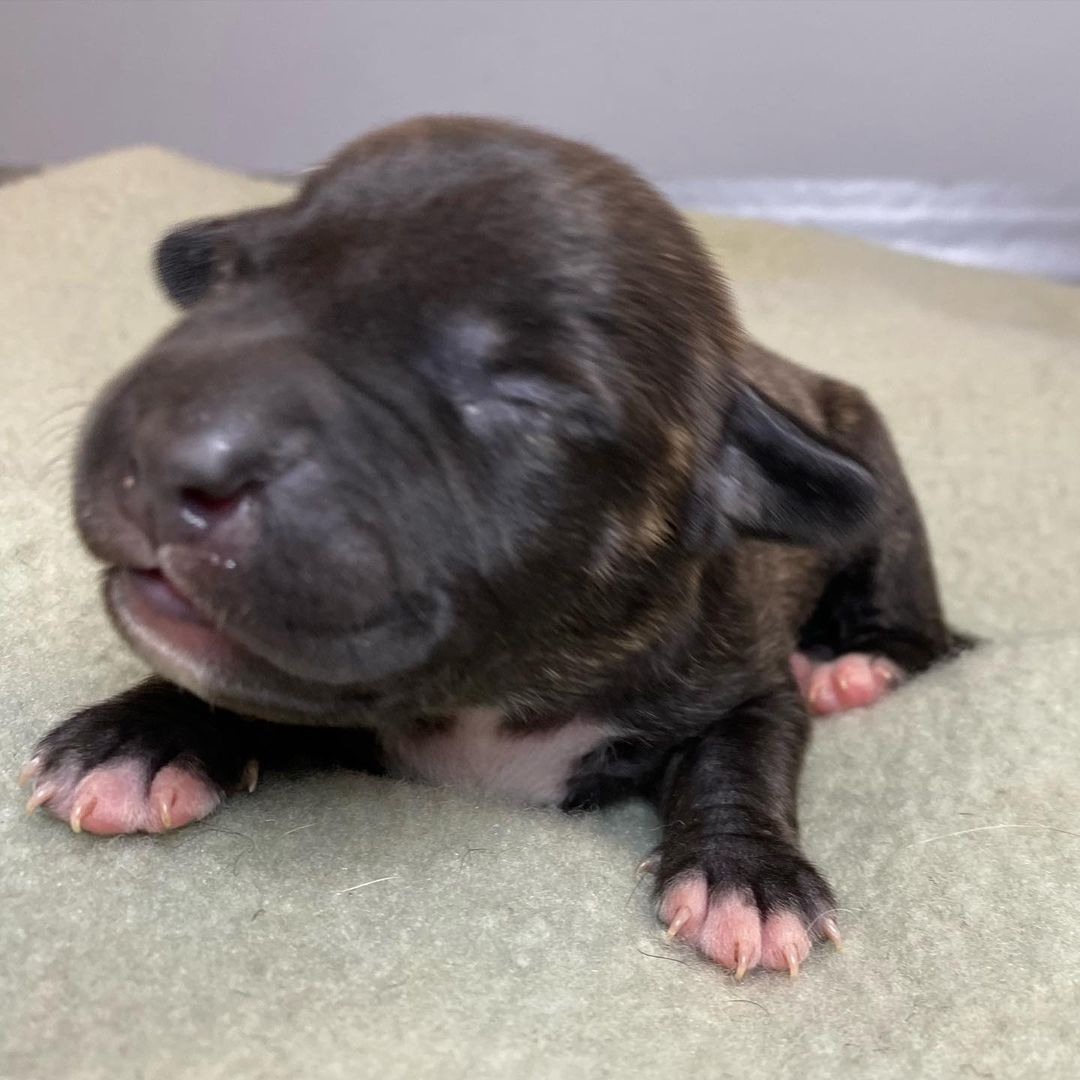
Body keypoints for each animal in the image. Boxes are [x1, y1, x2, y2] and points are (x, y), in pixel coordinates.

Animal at [22, 116, 966, 978]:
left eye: (525, 400)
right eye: (229, 281)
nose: (170, 446)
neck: (491, 695)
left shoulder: (745, 674)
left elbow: (743, 753)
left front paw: (750, 880)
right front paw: (139, 739)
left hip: (882, 493)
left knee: (917, 621)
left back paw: (855, 666)